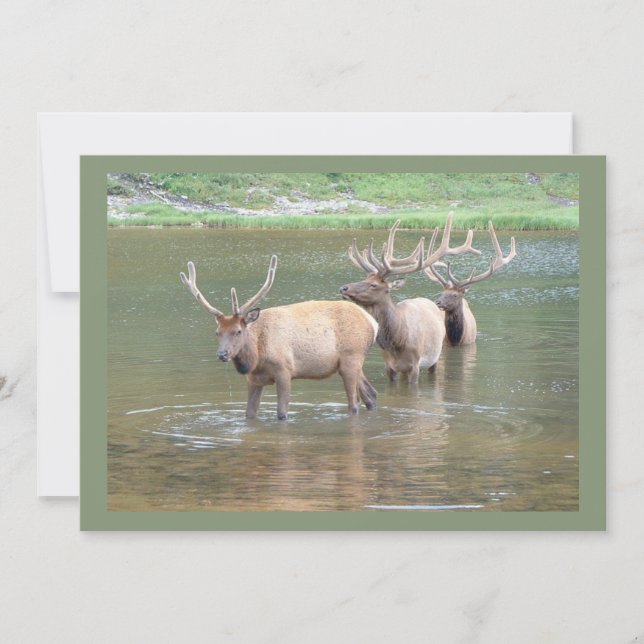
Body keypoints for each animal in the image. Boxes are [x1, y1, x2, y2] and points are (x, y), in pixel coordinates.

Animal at [180, 255, 379, 420]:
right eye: (217, 332)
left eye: (238, 331)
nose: (222, 354)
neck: (257, 358)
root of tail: (373, 323)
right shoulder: (253, 379)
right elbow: (249, 414)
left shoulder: (284, 370)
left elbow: (282, 414)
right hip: (350, 363)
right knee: (371, 394)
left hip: (351, 356)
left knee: (354, 405)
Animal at [339, 214, 477, 384]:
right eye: (365, 278)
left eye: (374, 285)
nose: (344, 288)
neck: (398, 340)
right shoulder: (389, 365)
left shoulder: (415, 365)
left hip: (435, 357)